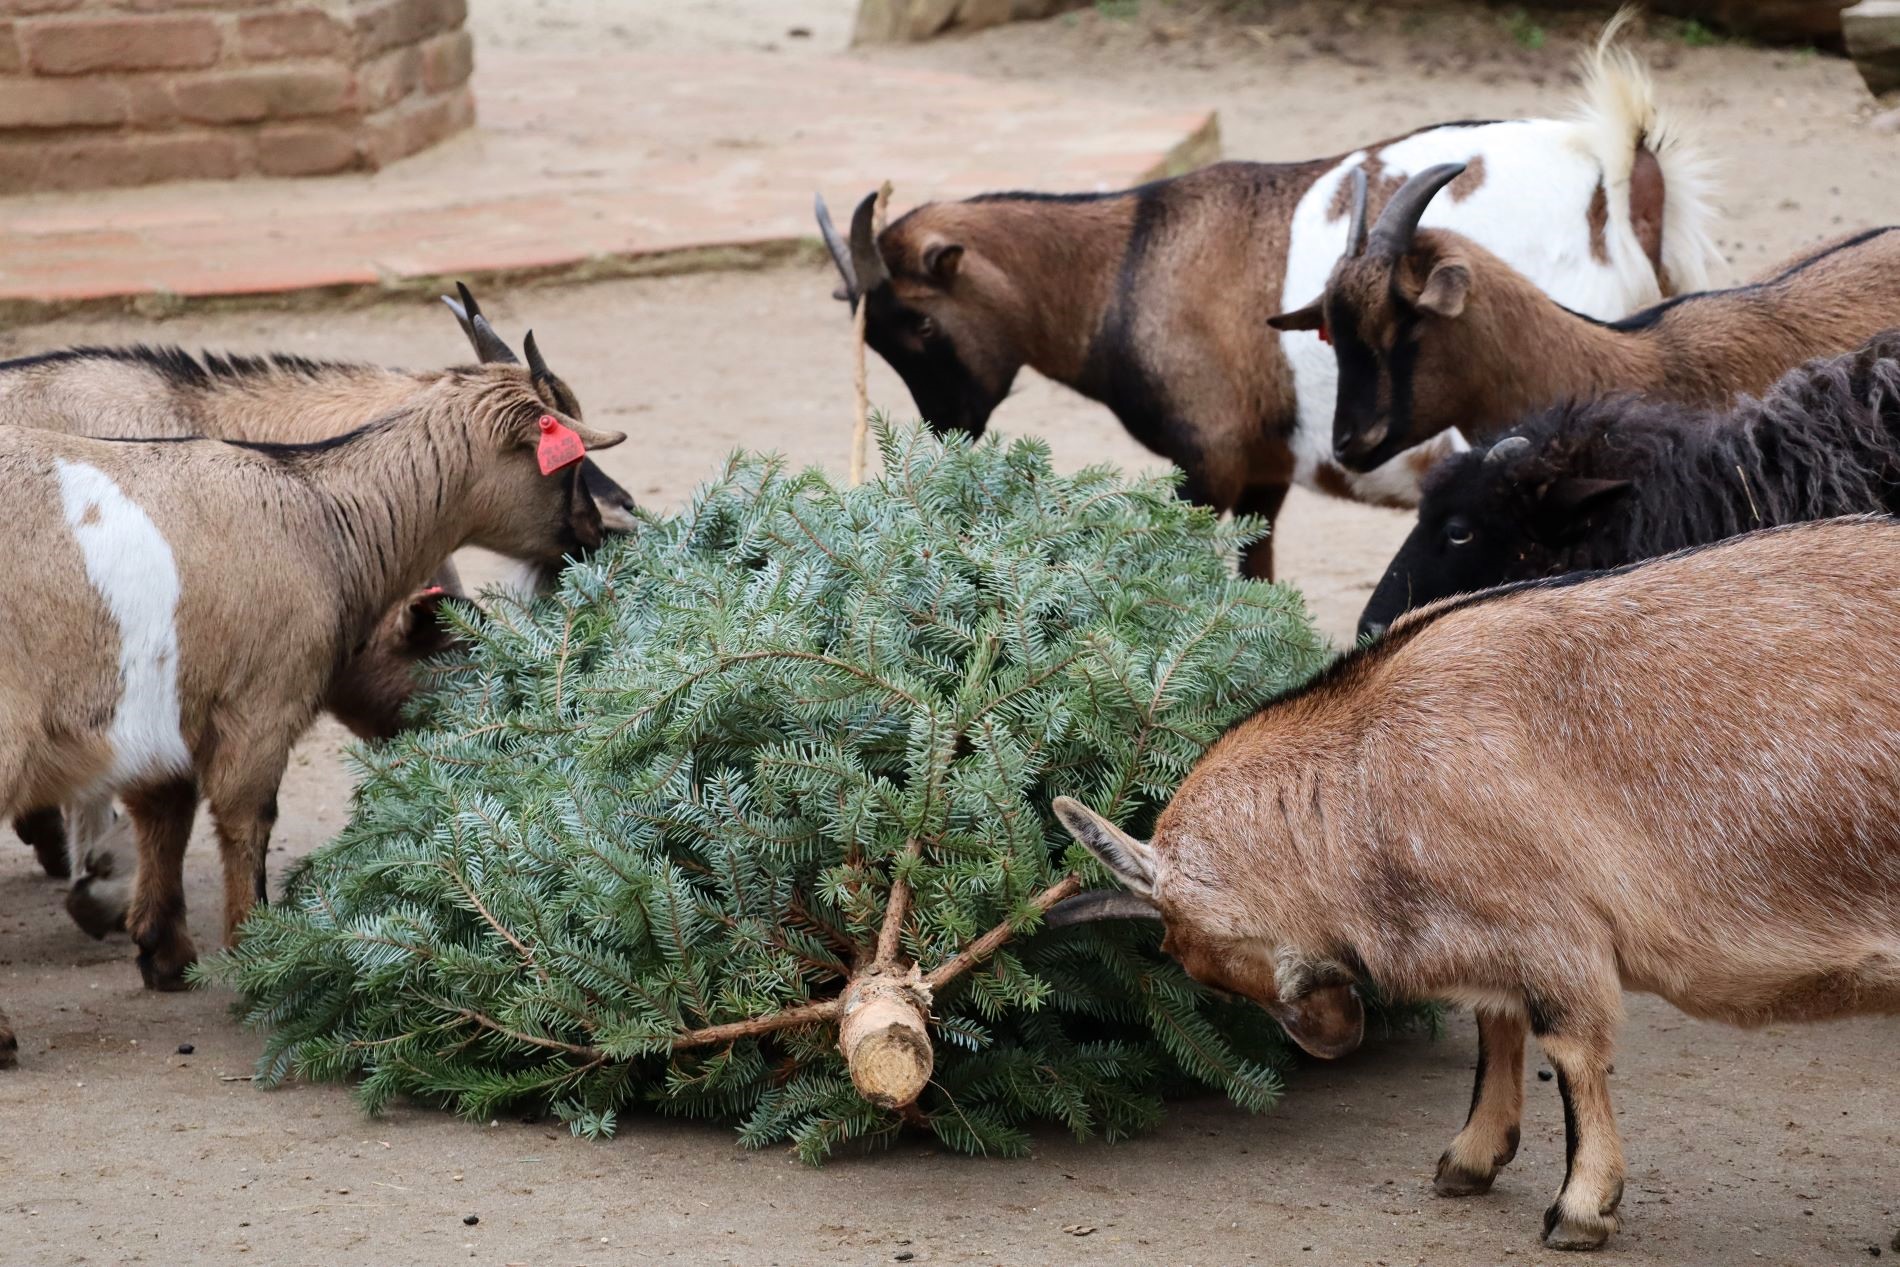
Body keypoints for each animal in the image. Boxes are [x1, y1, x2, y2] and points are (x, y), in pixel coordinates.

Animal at [817, 16, 1725, 573]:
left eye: (917, 324)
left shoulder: (1207, 464)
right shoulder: (1262, 475)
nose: (949, 429)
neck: (1127, 261)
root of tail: (1618, 175)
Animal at [1056, 516, 1900, 1261]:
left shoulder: (1554, 920)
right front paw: (1471, 1155)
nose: (1334, 1038)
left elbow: (1568, 1041)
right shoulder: (1492, 921)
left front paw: (1580, 1208)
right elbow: (1497, 1021)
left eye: (1205, 952)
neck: (1366, 766)